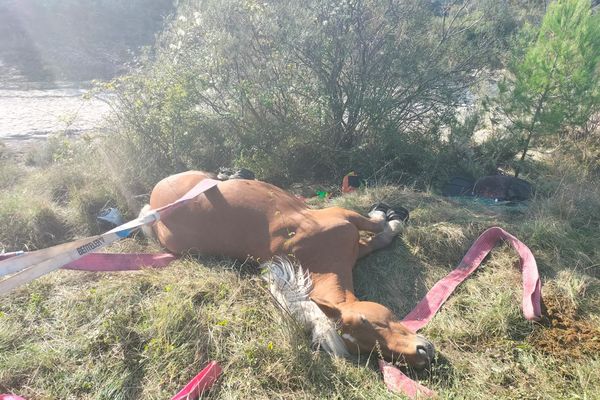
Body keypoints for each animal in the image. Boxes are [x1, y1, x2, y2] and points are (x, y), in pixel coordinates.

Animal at [145, 170, 436, 370]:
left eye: (367, 320)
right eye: (365, 349)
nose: (423, 354)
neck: (314, 256)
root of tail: (154, 208)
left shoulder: (351, 229)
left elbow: (377, 234)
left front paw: (389, 217)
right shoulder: (346, 219)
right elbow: (378, 230)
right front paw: (391, 218)